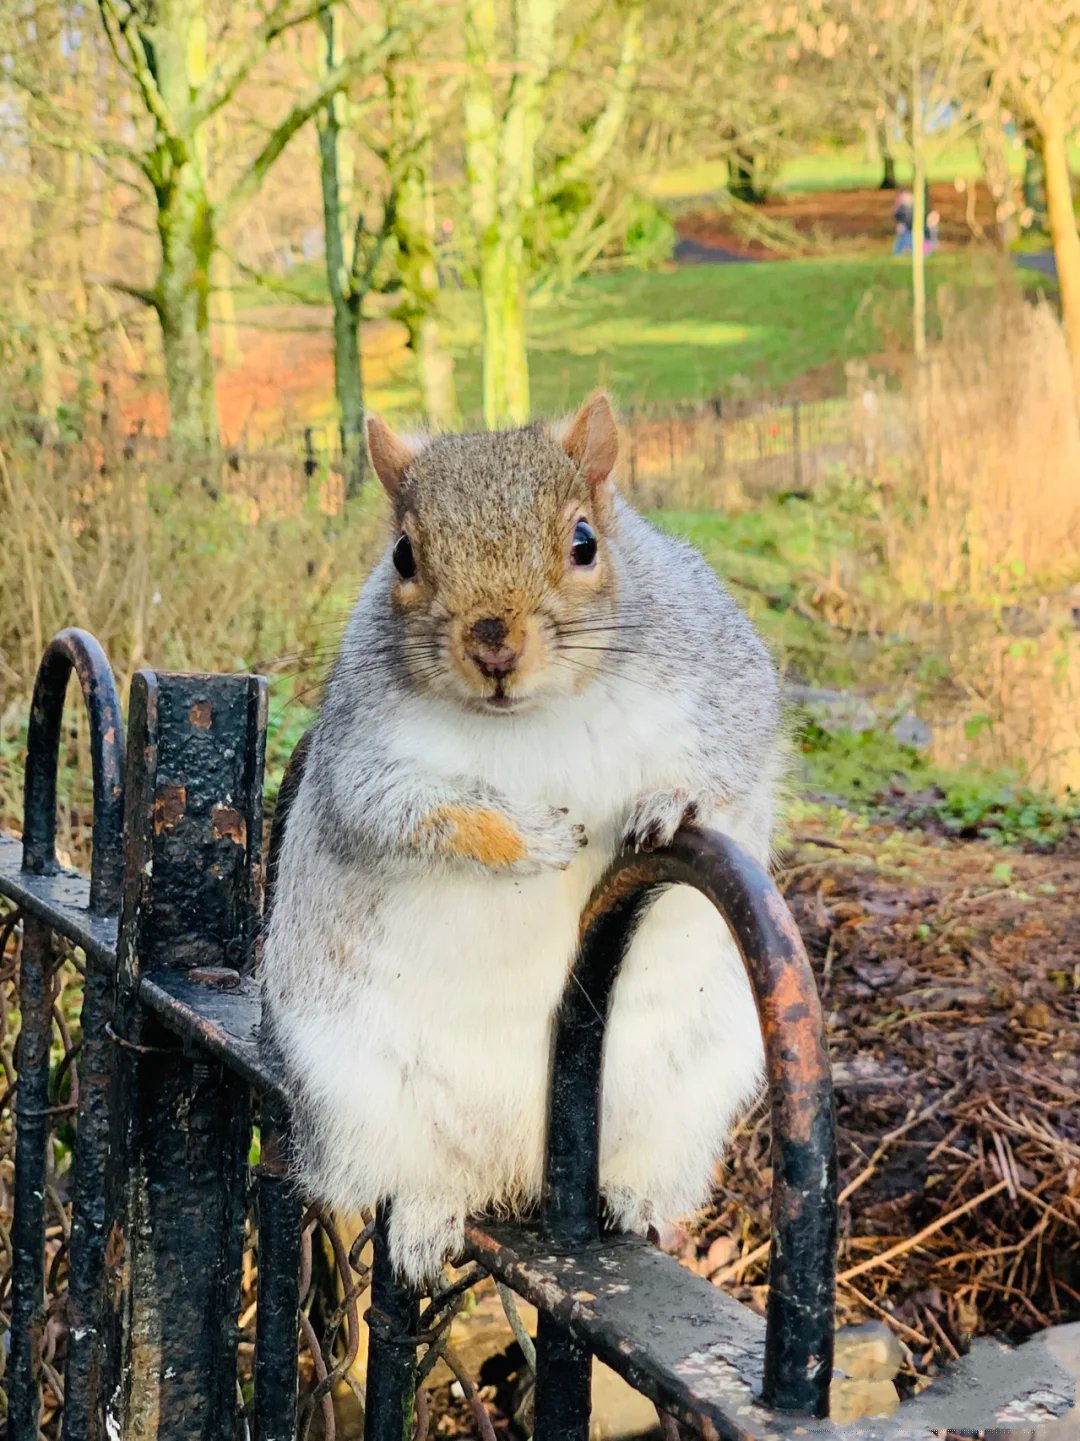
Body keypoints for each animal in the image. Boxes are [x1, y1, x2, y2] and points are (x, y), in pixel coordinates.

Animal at [260, 391, 784, 1285]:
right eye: (403, 555)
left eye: (585, 542)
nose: (492, 641)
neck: (534, 716)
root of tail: (524, 1168)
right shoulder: (363, 757)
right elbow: (405, 814)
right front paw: (527, 838)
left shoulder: (725, 686)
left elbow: (730, 766)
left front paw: (669, 802)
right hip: (352, 1092)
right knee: (422, 1175)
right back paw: (426, 1214)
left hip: (689, 1091)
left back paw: (637, 1202)